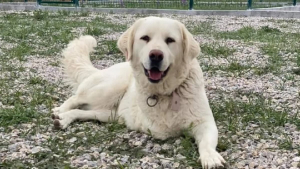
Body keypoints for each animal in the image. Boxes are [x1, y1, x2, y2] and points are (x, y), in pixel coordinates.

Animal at [51, 16, 225, 169]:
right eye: (145, 38)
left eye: (170, 40)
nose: (156, 55)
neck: (163, 93)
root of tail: (100, 70)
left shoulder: (205, 122)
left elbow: (207, 143)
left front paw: (211, 157)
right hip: (109, 88)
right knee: (76, 97)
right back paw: (60, 110)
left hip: (111, 115)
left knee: (83, 111)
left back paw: (64, 119)